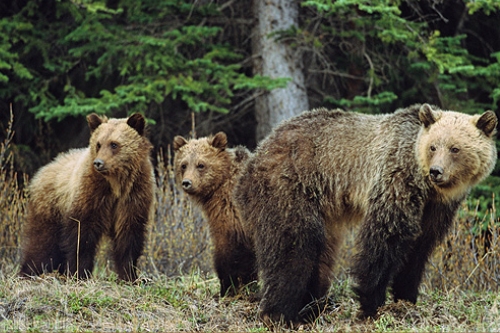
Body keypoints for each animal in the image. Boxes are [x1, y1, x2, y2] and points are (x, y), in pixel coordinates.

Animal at [20, 112, 154, 280]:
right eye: (98, 144)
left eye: (114, 144)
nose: (98, 163)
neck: (116, 183)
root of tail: (44, 168)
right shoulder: (91, 194)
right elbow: (82, 235)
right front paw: (80, 273)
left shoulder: (133, 196)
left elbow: (128, 237)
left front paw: (130, 275)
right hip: (50, 207)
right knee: (42, 243)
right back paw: (29, 272)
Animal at [236, 103, 498, 322]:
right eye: (433, 146)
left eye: (455, 148)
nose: (436, 171)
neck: (426, 187)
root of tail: (260, 149)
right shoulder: (396, 180)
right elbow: (385, 239)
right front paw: (370, 304)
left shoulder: (436, 209)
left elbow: (419, 249)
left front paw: (407, 297)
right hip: (291, 184)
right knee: (293, 246)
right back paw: (280, 312)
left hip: (323, 208)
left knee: (321, 253)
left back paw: (313, 306)